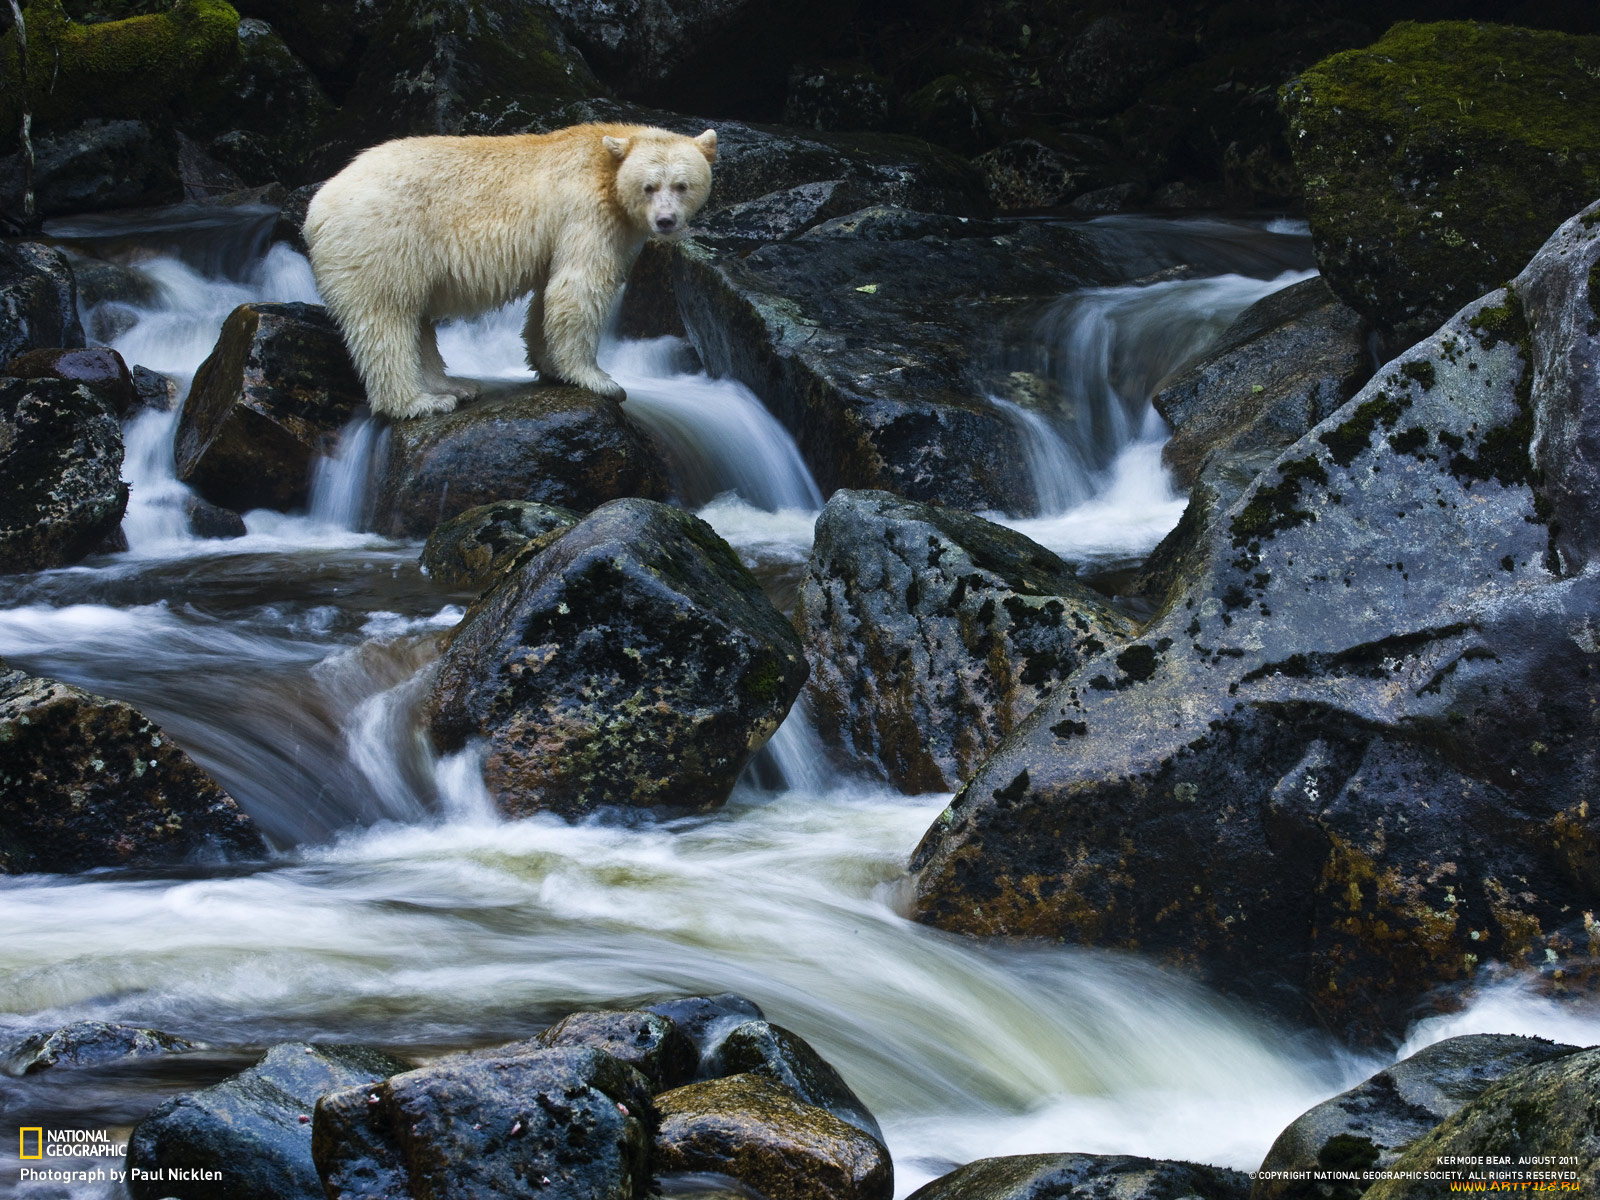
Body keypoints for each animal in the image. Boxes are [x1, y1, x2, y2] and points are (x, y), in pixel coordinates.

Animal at [302, 124, 716, 419]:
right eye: (649, 186)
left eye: (683, 185)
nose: (665, 221)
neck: (605, 164)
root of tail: (317, 208)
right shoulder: (588, 213)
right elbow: (579, 287)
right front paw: (599, 380)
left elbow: (549, 293)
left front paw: (549, 365)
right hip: (384, 237)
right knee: (387, 316)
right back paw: (418, 402)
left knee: (416, 318)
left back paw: (451, 385)